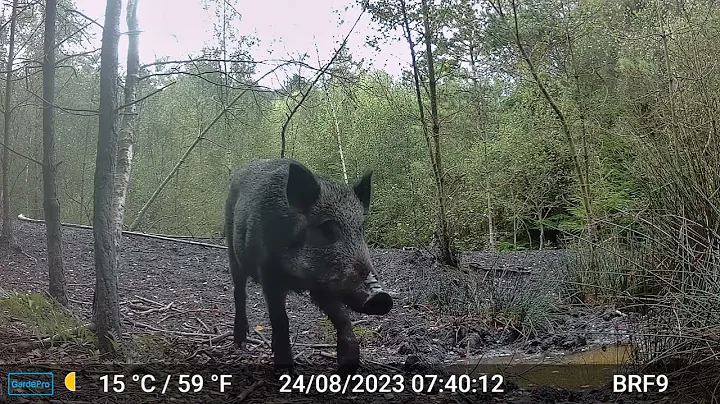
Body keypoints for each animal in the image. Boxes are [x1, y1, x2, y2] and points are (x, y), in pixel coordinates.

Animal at [224, 159, 393, 375]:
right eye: (326, 228)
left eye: (361, 229)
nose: (381, 297)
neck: (299, 278)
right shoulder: (269, 274)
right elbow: (281, 320)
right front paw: (286, 372)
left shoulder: (323, 285)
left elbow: (342, 317)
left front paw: (348, 366)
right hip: (232, 250)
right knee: (239, 292)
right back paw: (240, 343)